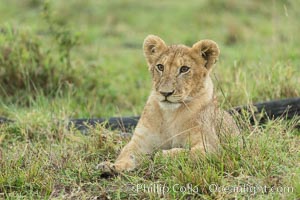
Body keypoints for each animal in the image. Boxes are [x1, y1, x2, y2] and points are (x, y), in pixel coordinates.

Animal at [98, 35, 239, 173]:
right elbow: (127, 153)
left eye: (184, 69)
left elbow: (186, 154)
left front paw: (160, 155)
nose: (165, 93)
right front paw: (111, 166)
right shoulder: (140, 142)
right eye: (160, 67)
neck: (170, 114)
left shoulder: (214, 148)